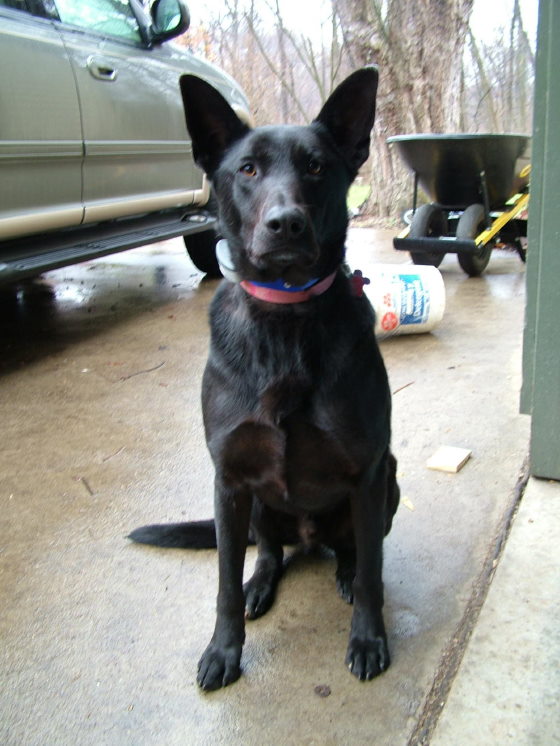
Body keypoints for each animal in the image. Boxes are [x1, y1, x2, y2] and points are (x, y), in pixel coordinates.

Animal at [128, 67, 398, 688]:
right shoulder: (229, 480)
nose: (286, 224)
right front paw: (224, 649)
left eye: (317, 167)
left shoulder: (369, 472)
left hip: (389, 483)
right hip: (256, 505)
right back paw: (261, 583)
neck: (286, 317)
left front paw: (368, 637)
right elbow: (224, 583)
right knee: (269, 552)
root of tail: (309, 540)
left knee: (353, 553)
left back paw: (342, 572)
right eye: (247, 169)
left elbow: (373, 571)